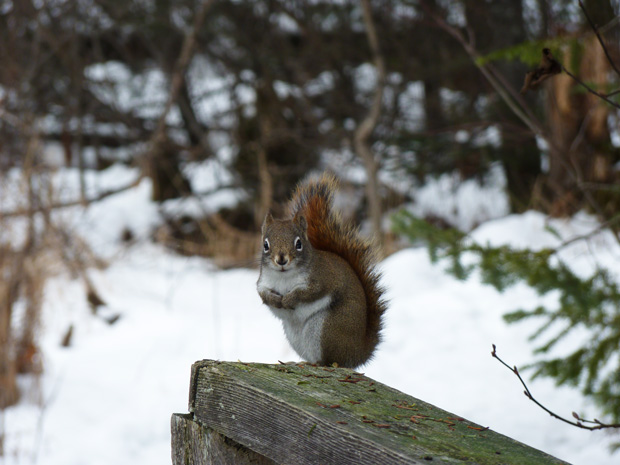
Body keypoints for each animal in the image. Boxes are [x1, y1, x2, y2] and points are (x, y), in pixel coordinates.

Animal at [254, 172, 386, 368]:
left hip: (326, 328)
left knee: (333, 361)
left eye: (298, 243)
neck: (285, 276)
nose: (281, 259)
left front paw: (290, 299)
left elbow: (310, 292)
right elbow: (263, 294)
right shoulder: (263, 282)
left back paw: (319, 363)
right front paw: (275, 300)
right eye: (265, 245)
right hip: (296, 336)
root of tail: (358, 353)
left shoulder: (323, 279)